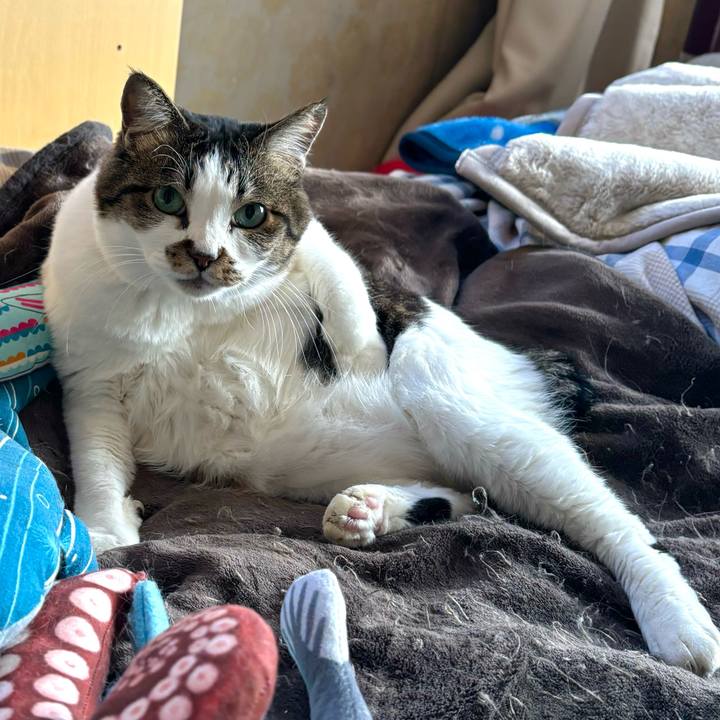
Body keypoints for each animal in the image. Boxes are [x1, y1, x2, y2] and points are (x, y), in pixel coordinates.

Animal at [42, 72, 720, 676]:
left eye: (251, 215)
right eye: (166, 199)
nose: (206, 257)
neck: (184, 314)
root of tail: (524, 363)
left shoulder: (315, 245)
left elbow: (336, 268)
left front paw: (361, 351)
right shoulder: (91, 386)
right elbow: (96, 461)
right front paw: (105, 529)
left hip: (471, 416)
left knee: (622, 528)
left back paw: (678, 622)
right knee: (468, 499)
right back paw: (370, 510)